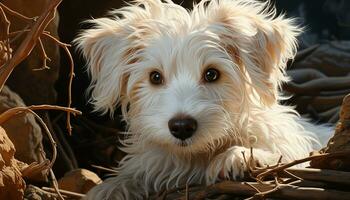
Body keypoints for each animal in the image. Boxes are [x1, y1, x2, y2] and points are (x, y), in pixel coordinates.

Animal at [75, 0, 332, 199]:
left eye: (212, 74)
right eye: (155, 77)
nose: (181, 127)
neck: (200, 153)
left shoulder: (296, 151)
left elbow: (284, 157)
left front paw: (239, 156)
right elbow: (133, 176)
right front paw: (108, 189)